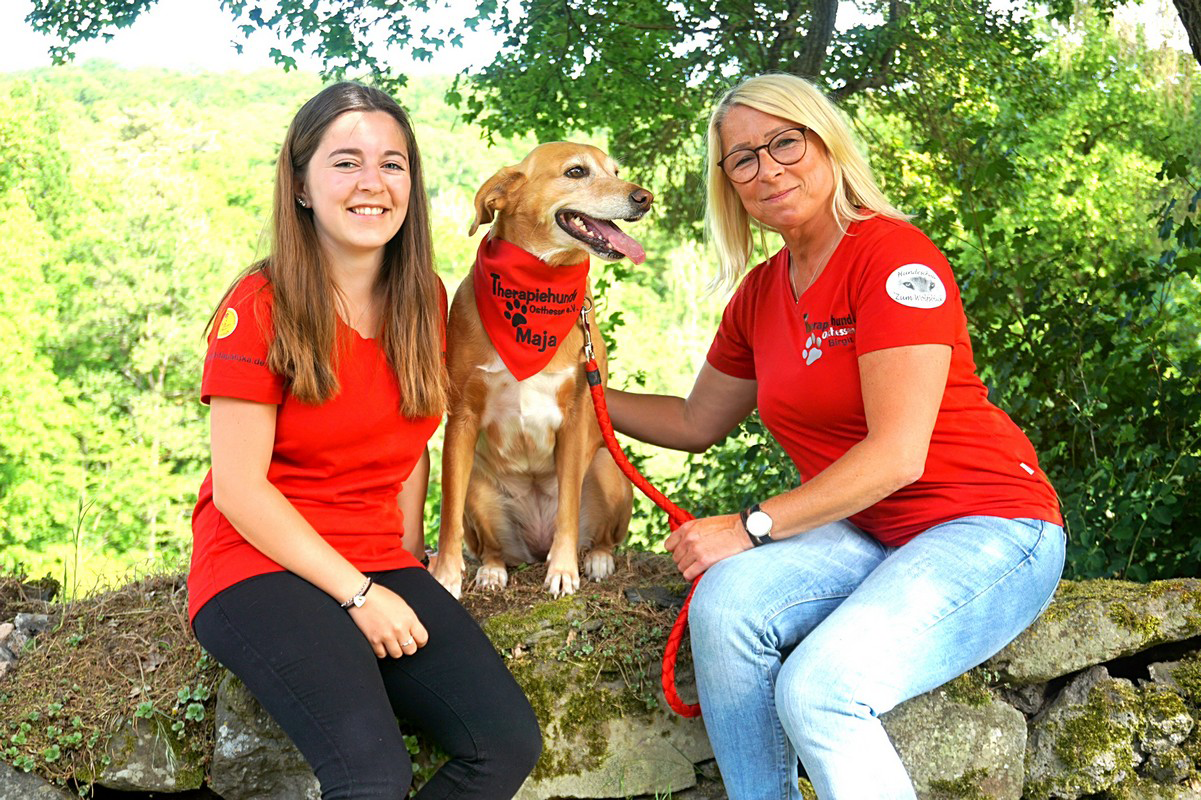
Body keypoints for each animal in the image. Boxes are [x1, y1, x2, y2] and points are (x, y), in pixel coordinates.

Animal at [432, 141, 653, 590]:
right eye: (576, 172)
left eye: (615, 170)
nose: (645, 197)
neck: (539, 280)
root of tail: (533, 546)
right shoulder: (461, 418)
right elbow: (448, 517)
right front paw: (446, 575)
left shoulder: (575, 415)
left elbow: (568, 504)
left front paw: (563, 571)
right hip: (479, 487)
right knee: (492, 548)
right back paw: (492, 571)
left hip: (607, 467)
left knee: (602, 537)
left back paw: (596, 559)